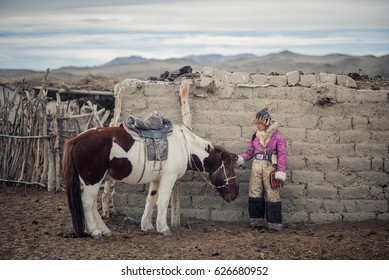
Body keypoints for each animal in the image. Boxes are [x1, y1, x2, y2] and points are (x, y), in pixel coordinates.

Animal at [62, 124, 238, 236]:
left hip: (90, 181)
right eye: (228, 169)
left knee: (91, 204)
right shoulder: (168, 178)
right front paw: (163, 227)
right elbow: (163, 202)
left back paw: (103, 230)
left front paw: (146, 226)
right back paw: (95, 231)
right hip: (93, 179)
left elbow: (151, 200)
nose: (235, 194)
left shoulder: (157, 179)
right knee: (87, 202)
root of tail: (76, 139)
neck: (184, 147)